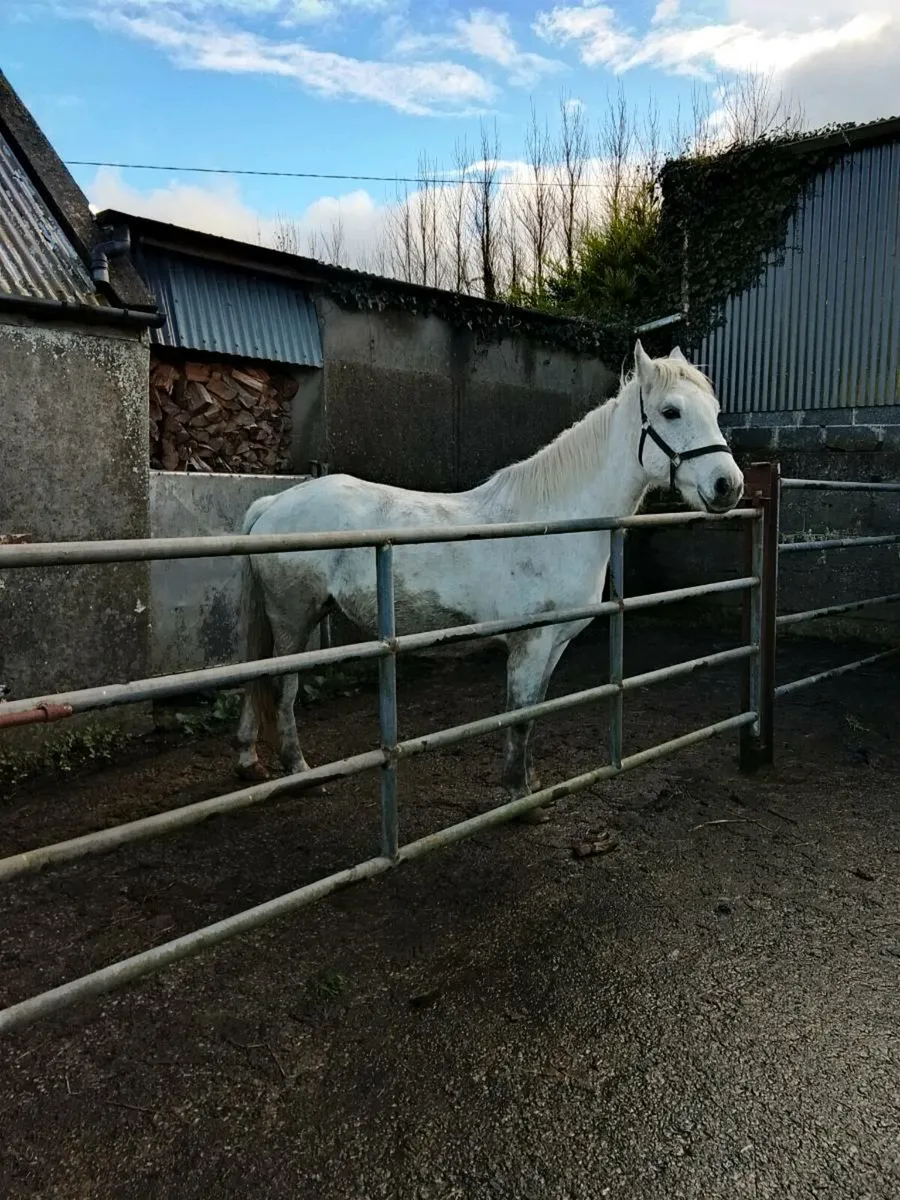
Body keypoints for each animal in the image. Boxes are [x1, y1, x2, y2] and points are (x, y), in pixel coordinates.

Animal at [233, 341, 743, 822]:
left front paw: (529, 784)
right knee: (283, 689)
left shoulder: (553, 645)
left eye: (714, 411)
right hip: (293, 619)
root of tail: (275, 503)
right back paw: (299, 772)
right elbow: (519, 716)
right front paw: (521, 800)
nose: (729, 486)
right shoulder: (531, 643)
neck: (553, 521)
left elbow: (532, 713)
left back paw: (250, 762)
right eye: (671, 411)